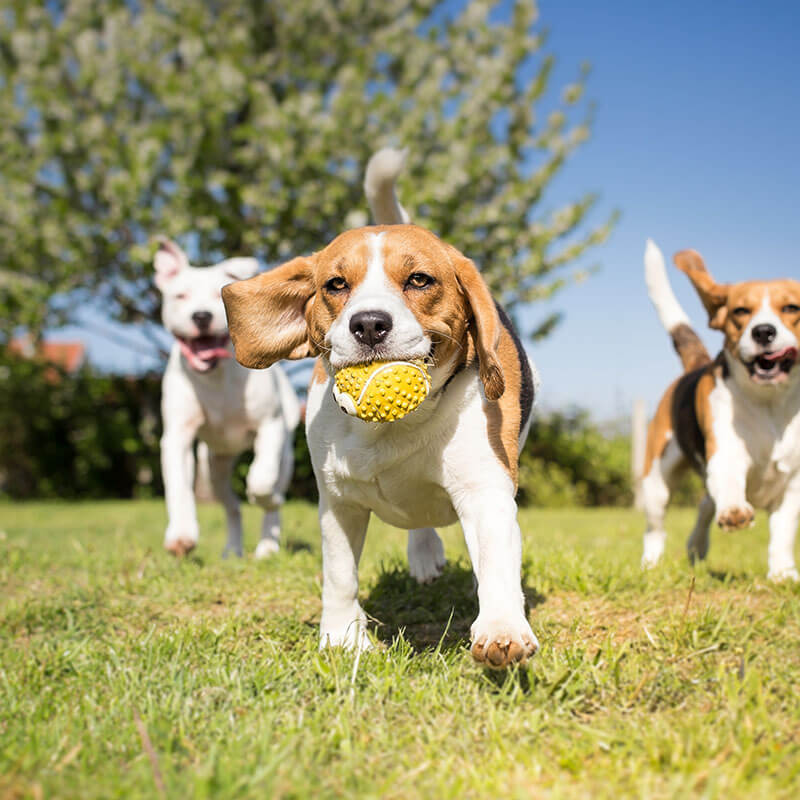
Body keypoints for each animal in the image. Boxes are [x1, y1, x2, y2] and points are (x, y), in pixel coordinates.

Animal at [154, 239, 300, 556]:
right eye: (180, 295)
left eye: (218, 295)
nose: (201, 316)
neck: (216, 376)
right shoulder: (177, 437)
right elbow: (178, 487)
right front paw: (181, 535)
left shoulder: (270, 426)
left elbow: (261, 481)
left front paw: (265, 497)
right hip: (214, 467)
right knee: (232, 505)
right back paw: (232, 549)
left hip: (285, 454)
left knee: (272, 495)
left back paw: (267, 546)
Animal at [222, 153, 540, 664]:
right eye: (335, 284)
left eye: (419, 280)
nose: (369, 324)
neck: (392, 428)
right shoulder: (338, 502)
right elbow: (339, 576)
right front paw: (341, 638)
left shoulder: (485, 490)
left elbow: (495, 563)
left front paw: (501, 628)